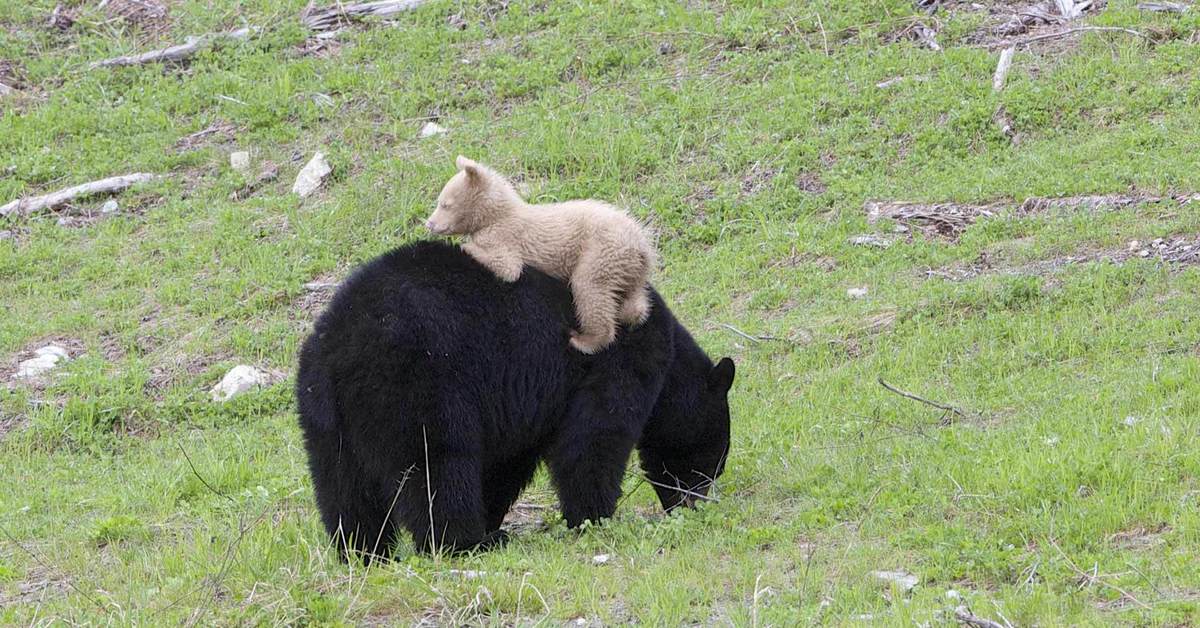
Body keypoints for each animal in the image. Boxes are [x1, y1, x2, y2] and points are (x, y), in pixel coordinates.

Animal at [295, 240, 734, 559]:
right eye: (713, 461)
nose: (694, 503)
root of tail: (341, 349)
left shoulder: (523, 407)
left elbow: (507, 463)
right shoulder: (615, 363)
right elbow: (593, 440)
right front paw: (596, 518)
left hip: (323, 416)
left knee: (343, 486)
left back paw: (363, 553)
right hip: (417, 387)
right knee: (438, 467)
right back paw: (467, 544)